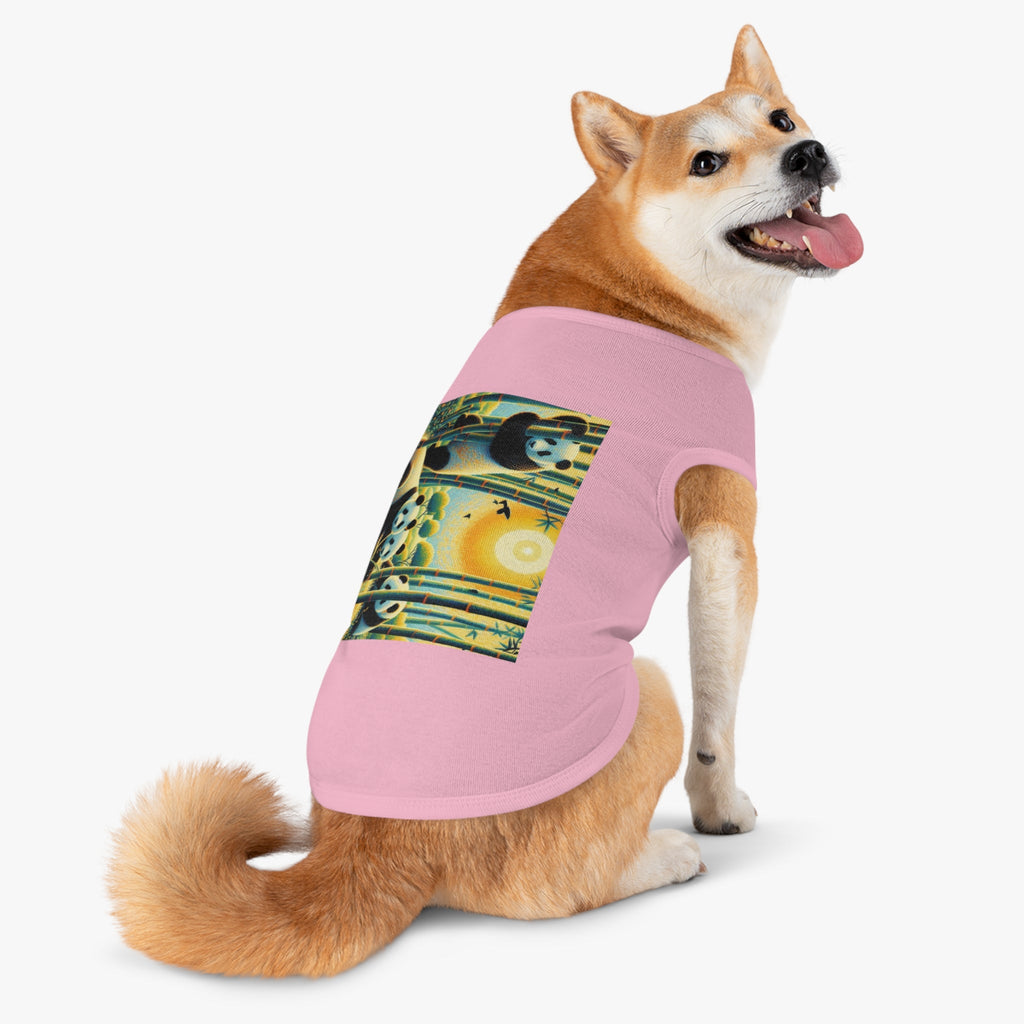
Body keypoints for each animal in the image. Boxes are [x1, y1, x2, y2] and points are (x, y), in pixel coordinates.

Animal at [423, 412, 587, 477]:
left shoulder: (529, 463)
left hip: (450, 460)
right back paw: (463, 419)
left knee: (438, 459)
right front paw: (580, 428)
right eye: (550, 440)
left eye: (545, 453)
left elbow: (501, 451)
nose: (533, 444)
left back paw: (431, 450)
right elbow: (558, 419)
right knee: (471, 422)